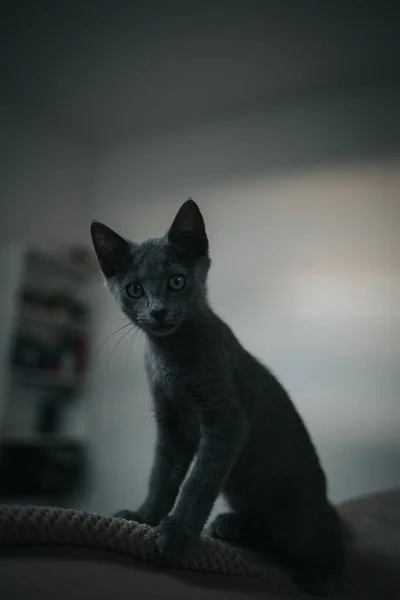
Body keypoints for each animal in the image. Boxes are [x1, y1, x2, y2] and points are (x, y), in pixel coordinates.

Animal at [90, 200, 344, 596]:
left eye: (176, 281)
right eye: (134, 290)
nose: (158, 311)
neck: (171, 357)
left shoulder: (226, 420)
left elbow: (199, 480)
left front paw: (177, 535)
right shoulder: (170, 423)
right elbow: (161, 476)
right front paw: (143, 517)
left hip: (299, 516)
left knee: (330, 540)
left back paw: (321, 573)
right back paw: (232, 526)